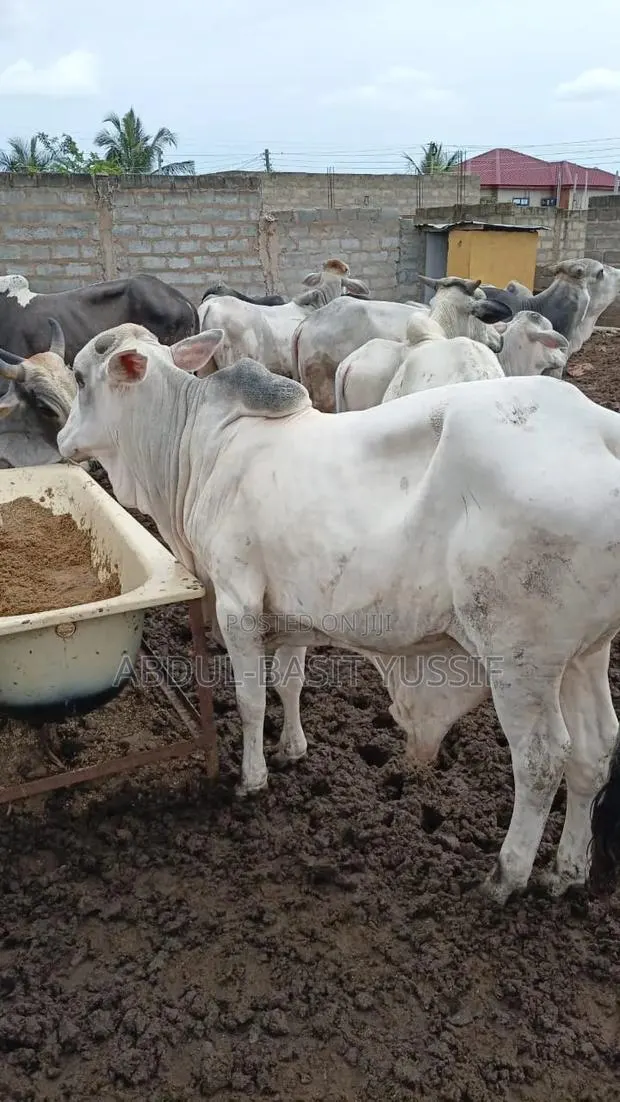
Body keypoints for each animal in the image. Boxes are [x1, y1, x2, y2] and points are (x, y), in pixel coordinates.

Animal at [57, 320, 620, 907]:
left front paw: (252, 778)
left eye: (80, 377)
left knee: (542, 759)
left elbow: (251, 699)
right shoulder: (291, 611)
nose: (61, 439)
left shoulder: (237, 603)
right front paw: (292, 749)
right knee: (595, 748)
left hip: (521, 661)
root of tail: (601, 427)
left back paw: (506, 876)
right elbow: (290, 682)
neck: (197, 447)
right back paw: (567, 871)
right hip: (582, 654)